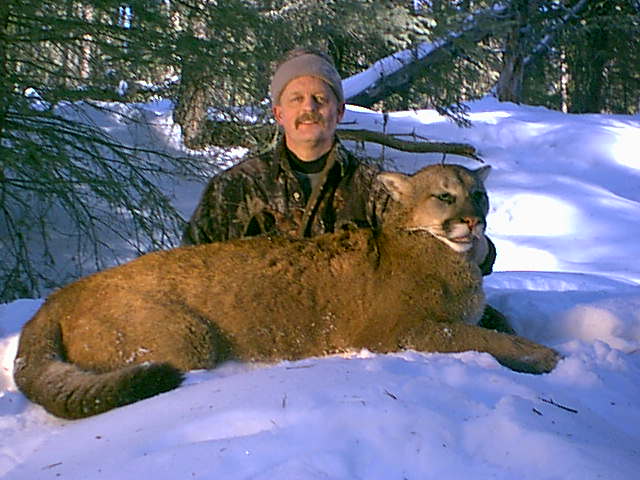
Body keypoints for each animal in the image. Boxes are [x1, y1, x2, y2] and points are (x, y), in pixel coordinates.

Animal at [13, 164, 559, 419]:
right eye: (444, 195)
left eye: (480, 195)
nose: (474, 221)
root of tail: (58, 296)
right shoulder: (400, 332)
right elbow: (481, 338)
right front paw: (542, 355)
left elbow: (493, 321)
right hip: (187, 339)